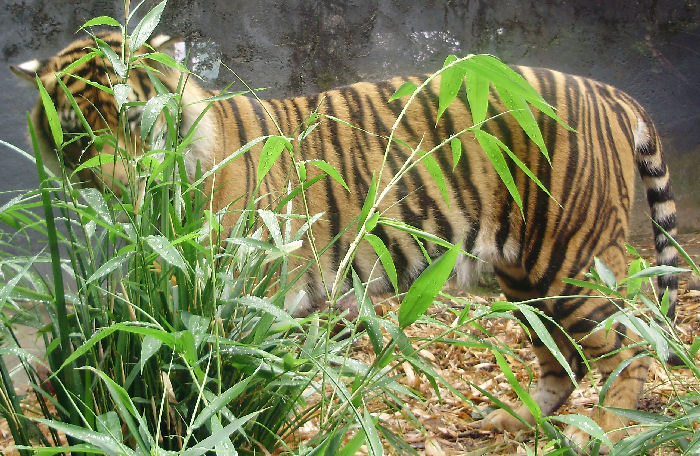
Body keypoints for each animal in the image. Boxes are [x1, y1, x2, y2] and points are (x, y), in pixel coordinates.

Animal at [12, 31, 680, 448]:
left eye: (132, 120)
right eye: (75, 138)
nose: (117, 189)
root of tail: (609, 91)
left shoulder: (246, 292)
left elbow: (223, 377)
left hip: (569, 258)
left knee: (632, 345)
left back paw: (607, 432)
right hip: (526, 277)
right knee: (564, 356)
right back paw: (509, 420)